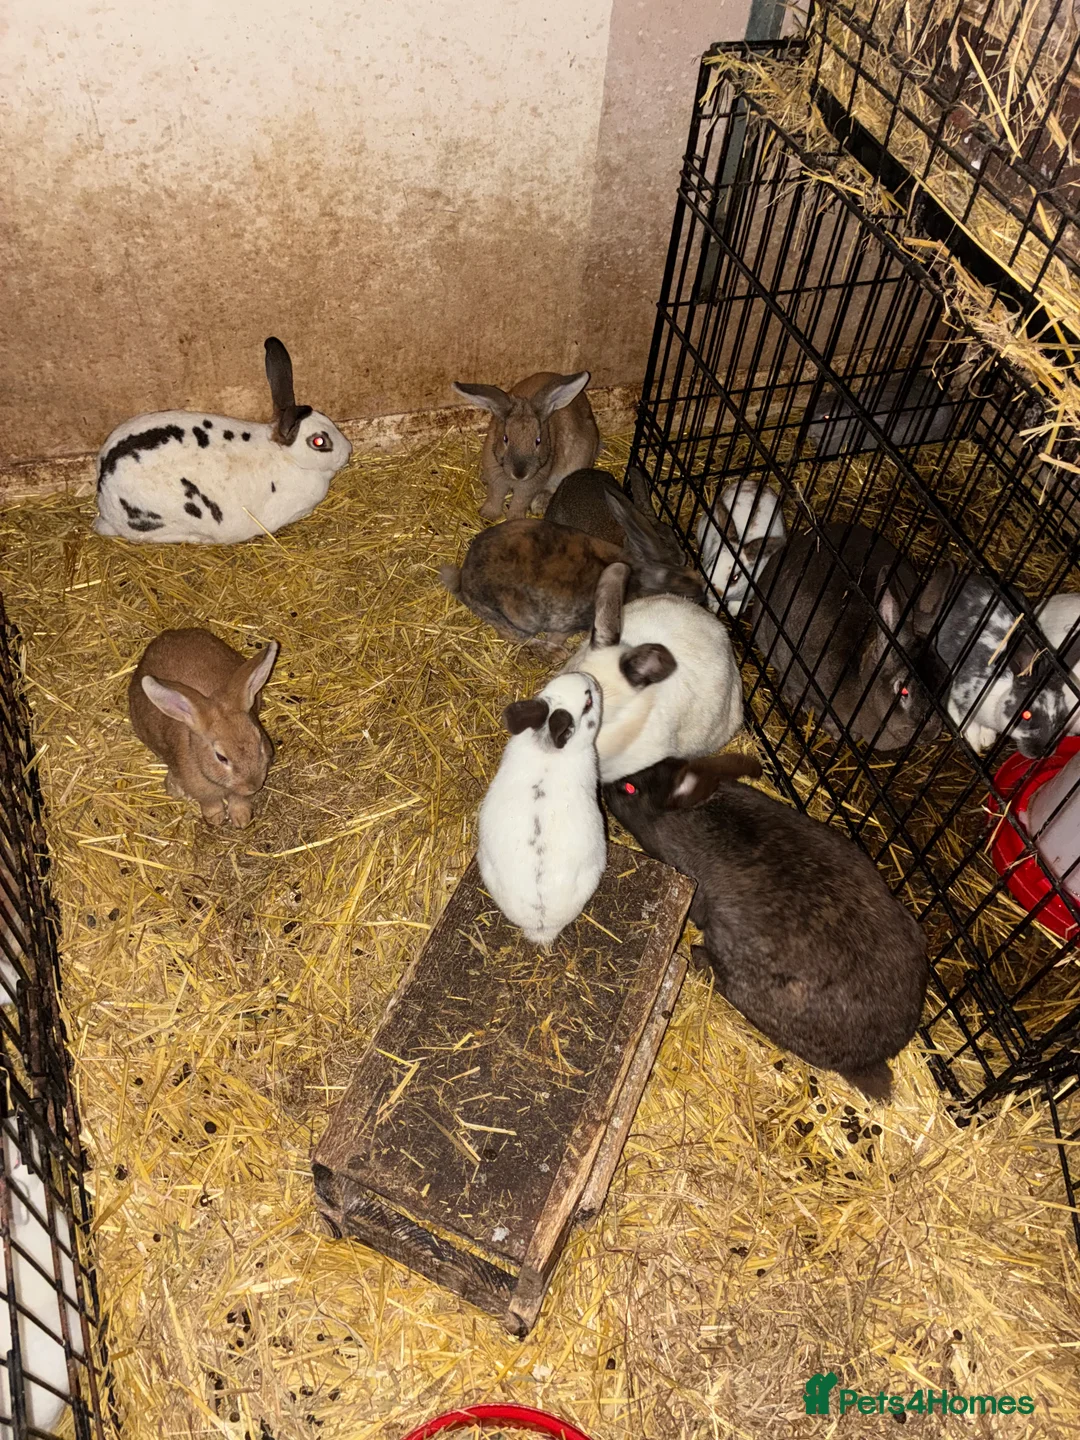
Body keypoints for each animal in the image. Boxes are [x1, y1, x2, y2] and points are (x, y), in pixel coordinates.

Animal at [129, 629, 279, 827]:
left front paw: (241, 819)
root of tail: (169, 634)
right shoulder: (203, 792)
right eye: (221, 757)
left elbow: (239, 801)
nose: (253, 785)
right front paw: (215, 819)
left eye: (260, 742)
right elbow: (210, 803)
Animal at [439, 493, 703, 646]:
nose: (705, 600)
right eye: (687, 594)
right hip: (519, 616)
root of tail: (464, 580)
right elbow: (558, 636)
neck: (641, 578)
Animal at [452, 372, 600, 521]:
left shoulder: (529, 485)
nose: (520, 473)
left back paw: (539, 505)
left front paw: (514, 519)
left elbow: (519, 501)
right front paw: (487, 515)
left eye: (538, 441)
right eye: (505, 438)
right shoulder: (496, 478)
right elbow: (495, 496)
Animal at [696, 479, 786, 616]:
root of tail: (755, 483)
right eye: (712, 562)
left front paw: (734, 611)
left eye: (735, 578)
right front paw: (714, 607)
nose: (710, 590)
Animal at [916, 565, 1073, 757]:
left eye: (1061, 716)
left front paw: (987, 738)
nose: (1042, 752)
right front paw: (975, 742)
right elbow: (967, 718)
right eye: (1026, 715)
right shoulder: (963, 695)